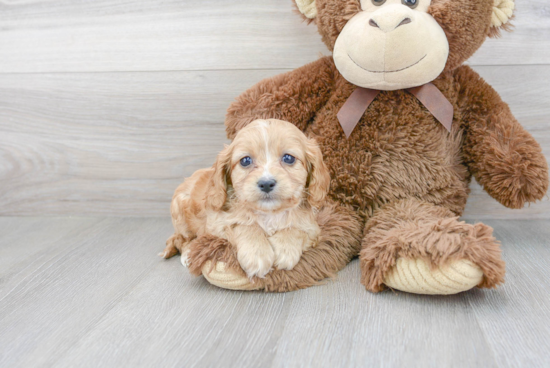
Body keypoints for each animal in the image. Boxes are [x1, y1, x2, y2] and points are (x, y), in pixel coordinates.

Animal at [161, 119, 332, 278]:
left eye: (288, 158)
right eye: (245, 160)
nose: (266, 183)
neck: (269, 213)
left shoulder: (313, 228)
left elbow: (296, 228)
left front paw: (285, 249)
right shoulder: (216, 224)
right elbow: (244, 225)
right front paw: (257, 255)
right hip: (180, 211)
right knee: (180, 239)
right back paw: (187, 255)